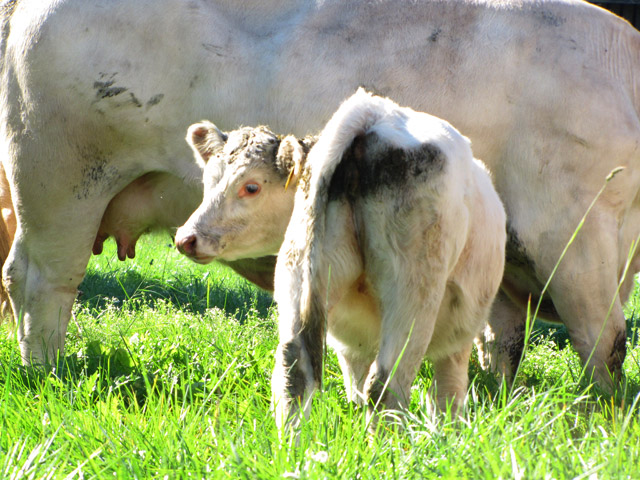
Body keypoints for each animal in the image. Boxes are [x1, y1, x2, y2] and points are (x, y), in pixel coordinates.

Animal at [1, 0, 639, 392]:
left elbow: (500, 342)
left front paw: (493, 401)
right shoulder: (576, 233)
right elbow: (605, 343)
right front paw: (602, 419)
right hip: (60, 185)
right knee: (39, 282)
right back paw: (47, 372)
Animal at [177, 90, 507, 426]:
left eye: (251, 187)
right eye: (209, 183)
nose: (186, 238)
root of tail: (370, 114)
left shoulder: (349, 341)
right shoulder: (456, 339)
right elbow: (447, 398)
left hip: (298, 273)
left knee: (293, 373)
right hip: (413, 292)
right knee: (386, 386)